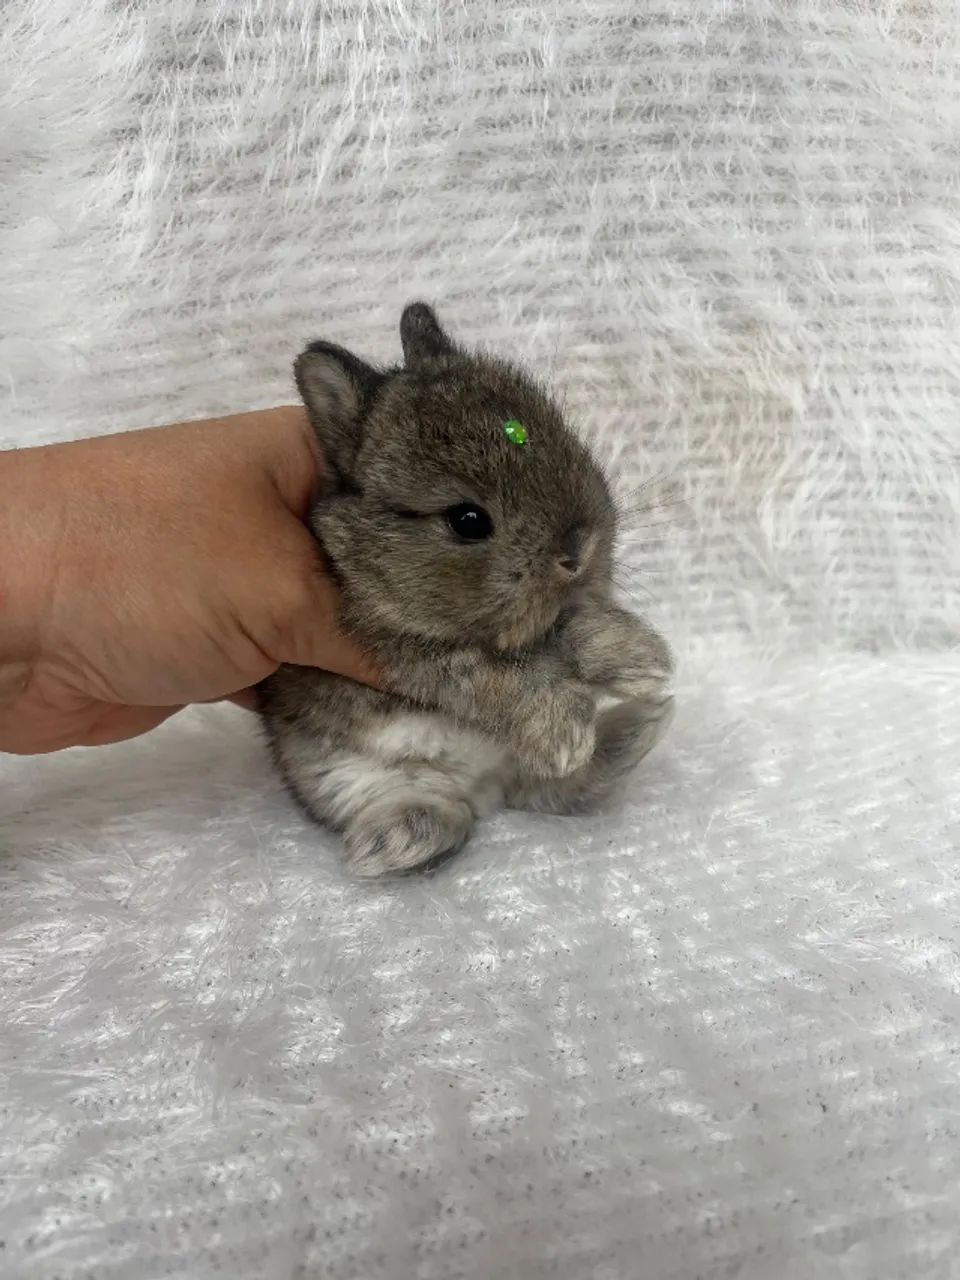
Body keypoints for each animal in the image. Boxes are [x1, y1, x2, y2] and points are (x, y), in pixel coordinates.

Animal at [258, 303, 674, 877]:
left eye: (567, 442)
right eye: (468, 521)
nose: (579, 547)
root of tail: (486, 789)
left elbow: (580, 626)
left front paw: (644, 662)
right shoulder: (407, 657)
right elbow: (500, 679)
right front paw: (565, 735)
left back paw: (634, 731)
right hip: (334, 768)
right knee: (433, 804)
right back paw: (396, 840)